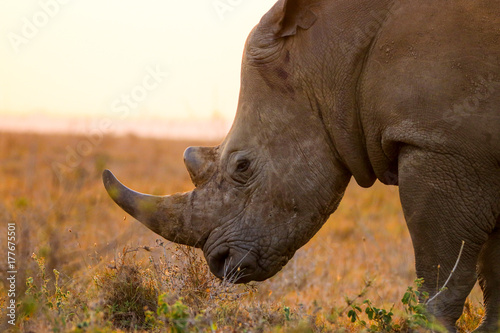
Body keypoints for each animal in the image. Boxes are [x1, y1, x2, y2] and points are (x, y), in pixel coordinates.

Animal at [102, 0, 500, 330]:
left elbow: (440, 274)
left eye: (243, 166)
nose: (219, 263)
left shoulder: (439, 143)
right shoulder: (470, 151)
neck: (331, 51)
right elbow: (492, 273)